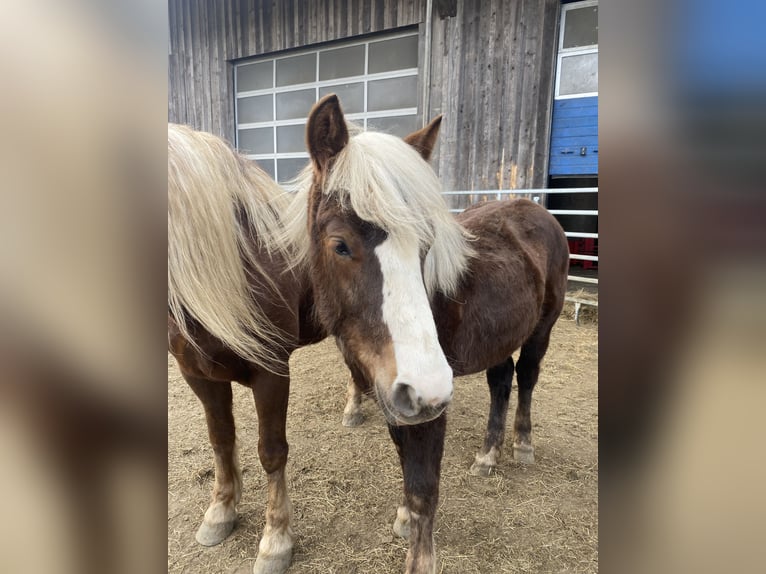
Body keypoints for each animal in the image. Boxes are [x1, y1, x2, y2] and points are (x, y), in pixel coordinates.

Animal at [295, 94, 569, 572]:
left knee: (528, 378)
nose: (426, 386)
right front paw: (404, 516)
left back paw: (522, 446)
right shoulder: (394, 391)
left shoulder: (428, 404)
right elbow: (405, 460)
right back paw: (487, 455)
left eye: (426, 246)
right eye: (340, 245)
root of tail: (540, 212)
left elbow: (425, 488)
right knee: (502, 382)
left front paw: (419, 551)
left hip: (541, 331)